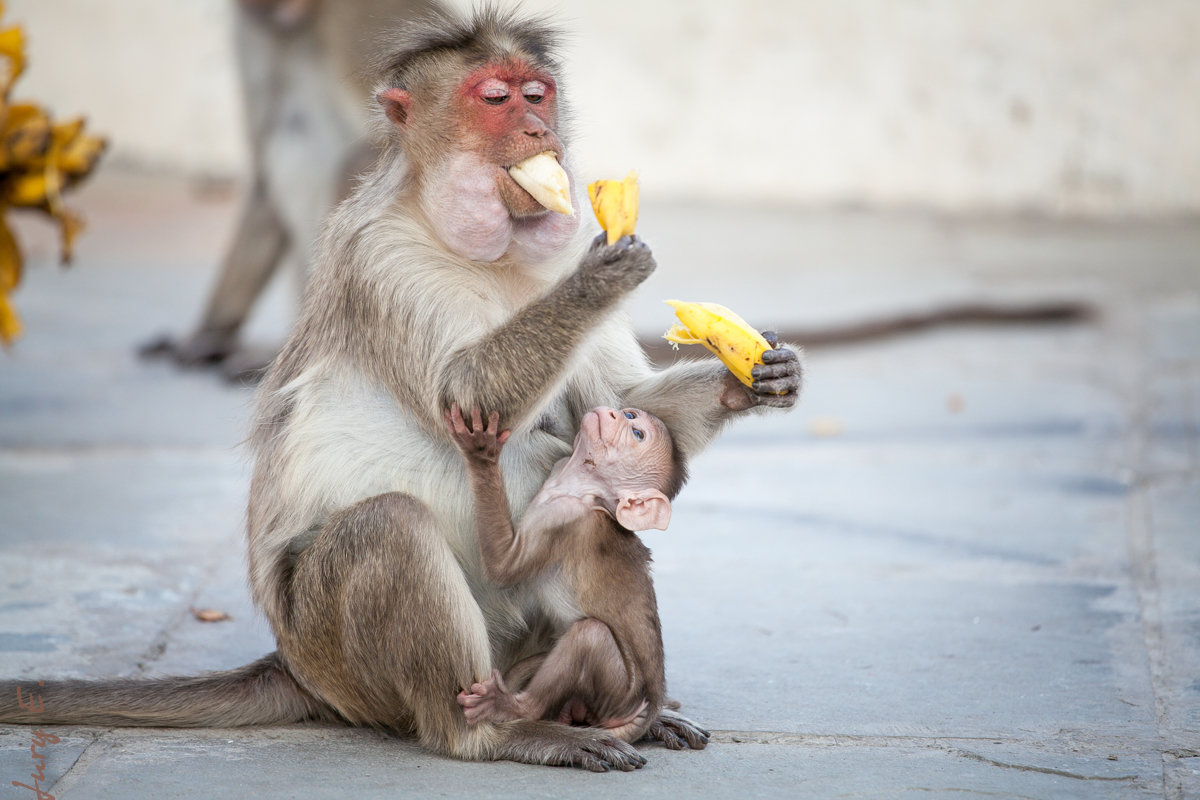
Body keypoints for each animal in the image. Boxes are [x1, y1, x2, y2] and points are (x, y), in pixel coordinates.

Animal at [444, 402, 705, 748]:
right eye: (631, 415)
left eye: (637, 433)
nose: (614, 413)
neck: (579, 485)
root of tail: (649, 706)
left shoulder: (562, 516)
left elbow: (503, 567)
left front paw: (481, 454)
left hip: (620, 691)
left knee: (590, 634)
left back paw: (512, 706)